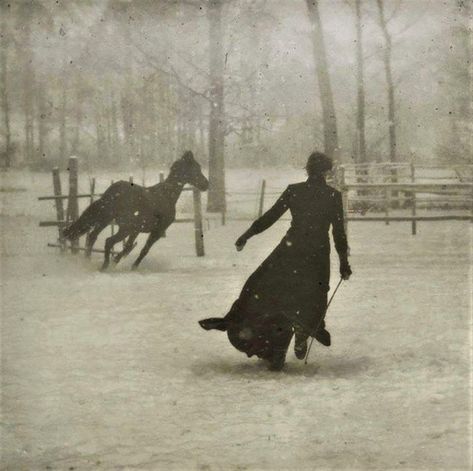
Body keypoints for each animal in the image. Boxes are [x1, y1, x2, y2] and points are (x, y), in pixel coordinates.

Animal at [62, 151, 208, 270]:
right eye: (196, 168)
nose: (206, 184)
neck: (166, 196)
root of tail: (111, 192)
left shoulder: (136, 230)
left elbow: (128, 246)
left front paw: (117, 260)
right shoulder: (156, 231)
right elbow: (143, 249)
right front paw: (131, 266)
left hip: (106, 220)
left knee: (92, 237)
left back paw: (88, 261)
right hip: (122, 227)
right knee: (108, 241)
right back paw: (104, 266)